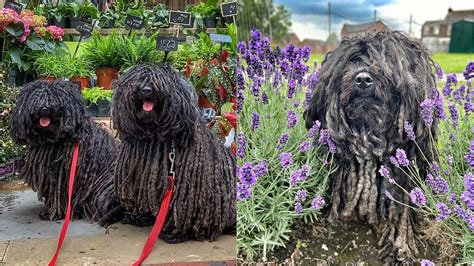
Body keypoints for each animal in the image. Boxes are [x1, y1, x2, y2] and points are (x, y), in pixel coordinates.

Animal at [10, 80, 122, 225]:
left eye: (54, 98)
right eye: (36, 98)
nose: (44, 108)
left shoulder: (63, 176)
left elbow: (59, 195)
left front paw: (54, 213)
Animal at [111, 64, 237, 243]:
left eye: (161, 81)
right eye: (138, 79)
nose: (146, 90)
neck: (155, 135)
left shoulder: (191, 187)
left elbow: (184, 208)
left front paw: (177, 232)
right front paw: (140, 216)